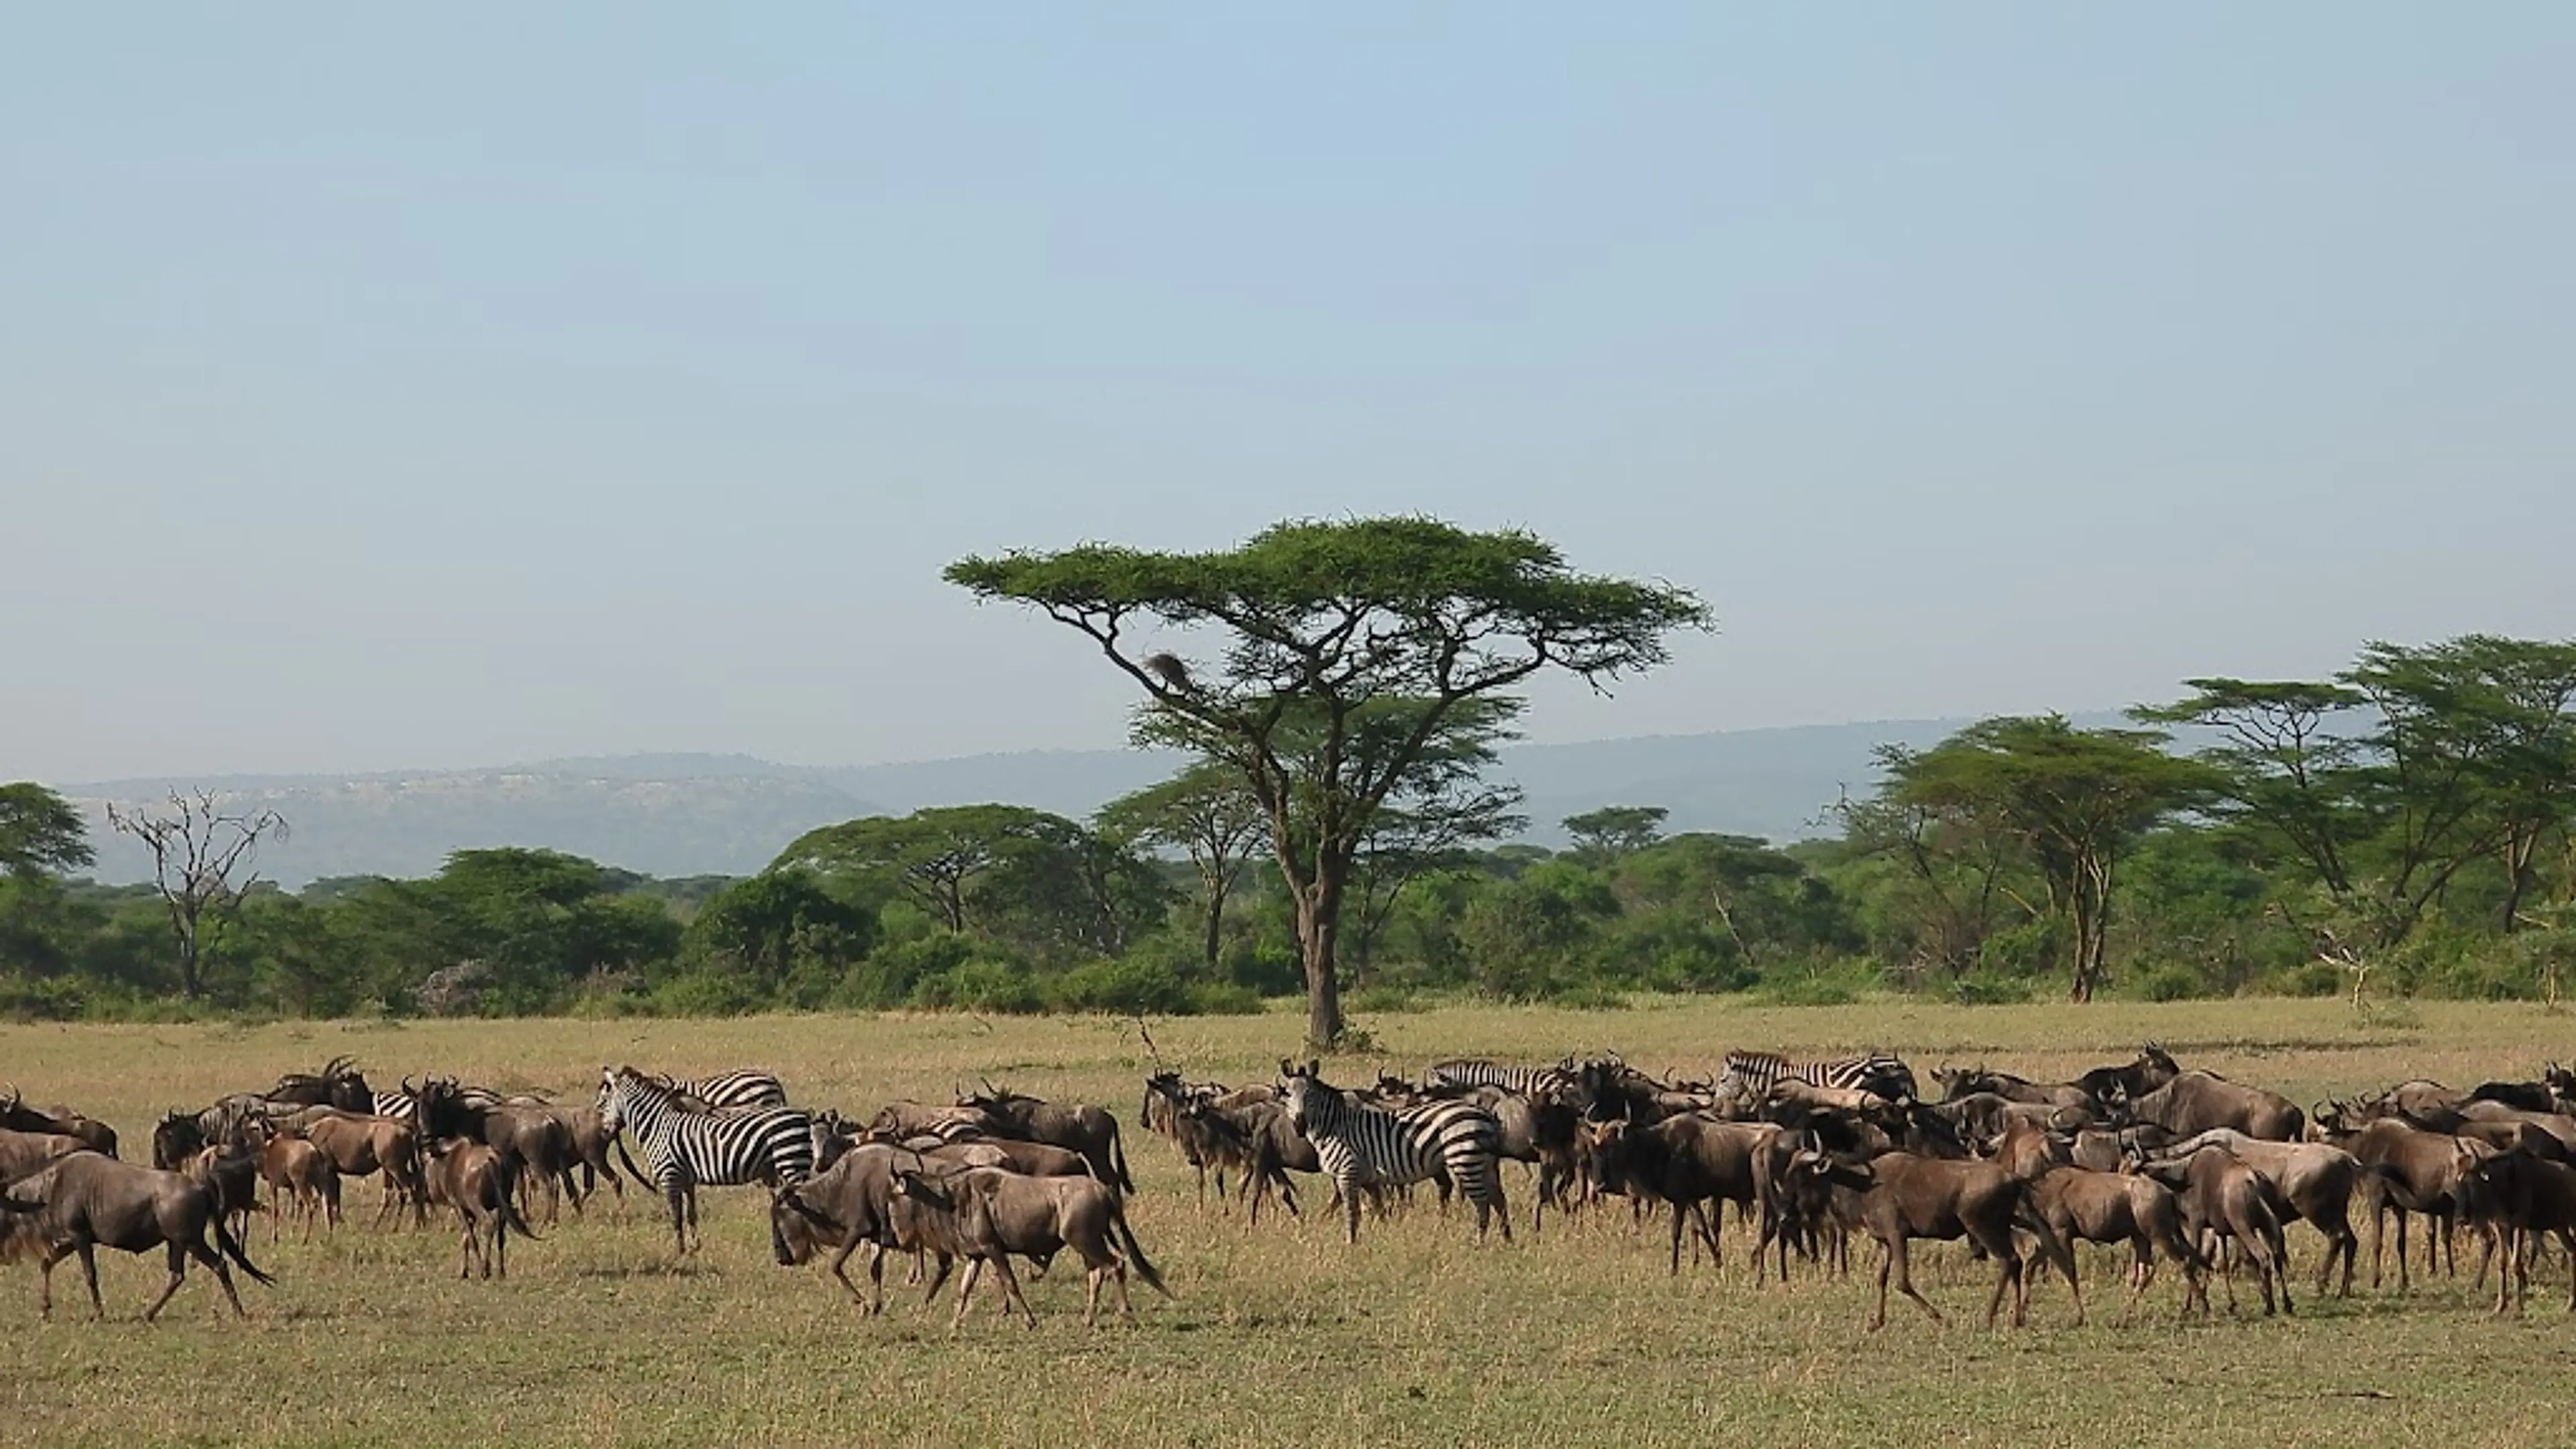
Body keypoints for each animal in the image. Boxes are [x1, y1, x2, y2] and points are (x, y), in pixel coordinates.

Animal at [0, 1144, 274, 1315]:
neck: (52, 1187)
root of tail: (201, 1187)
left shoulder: (80, 1237)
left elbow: (90, 1275)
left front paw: (99, 1313)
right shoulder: (70, 1238)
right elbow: (47, 1263)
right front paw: (45, 1309)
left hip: (191, 1241)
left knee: (220, 1265)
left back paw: (238, 1311)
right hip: (177, 1242)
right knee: (177, 1276)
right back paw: (147, 1315)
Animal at [595, 1057, 814, 1248]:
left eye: (604, 1101)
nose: (604, 1131)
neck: (658, 1125)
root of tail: (803, 1115)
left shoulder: (670, 1176)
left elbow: (676, 1217)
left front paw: (680, 1252)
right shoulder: (687, 1179)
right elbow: (691, 1215)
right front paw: (695, 1248)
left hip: (792, 1164)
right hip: (779, 1168)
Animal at [1272, 1046, 1504, 1242]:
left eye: (1310, 1095)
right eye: (1288, 1095)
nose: (1300, 1125)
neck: (1334, 1126)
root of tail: (1484, 1113)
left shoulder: (1348, 1172)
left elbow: (1352, 1212)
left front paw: (1350, 1243)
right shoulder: (1368, 1178)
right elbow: (1377, 1209)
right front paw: (1380, 1235)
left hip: (1465, 1161)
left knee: (1482, 1204)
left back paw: (1479, 1242)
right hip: (1484, 1163)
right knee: (1498, 1199)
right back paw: (1506, 1241)